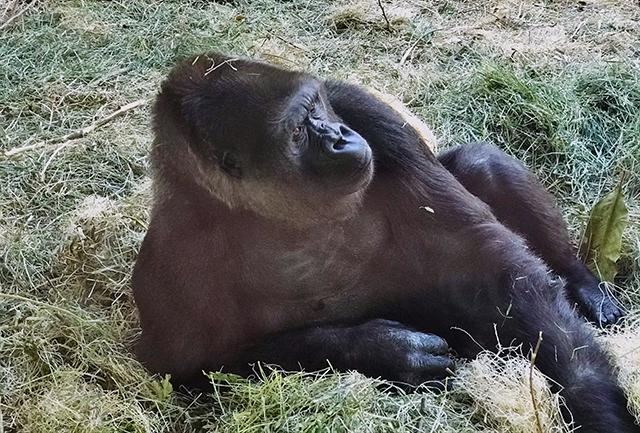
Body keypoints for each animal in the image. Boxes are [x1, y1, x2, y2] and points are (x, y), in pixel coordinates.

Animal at [132, 53, 636, 432]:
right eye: (296, 132)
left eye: (316, 107)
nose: (339, 138)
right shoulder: (171, 256)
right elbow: (190, 366)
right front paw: (389, 350)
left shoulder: (366, 114)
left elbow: (498, 271)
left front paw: (594, 403)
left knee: (482, 164)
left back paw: (581, 281)